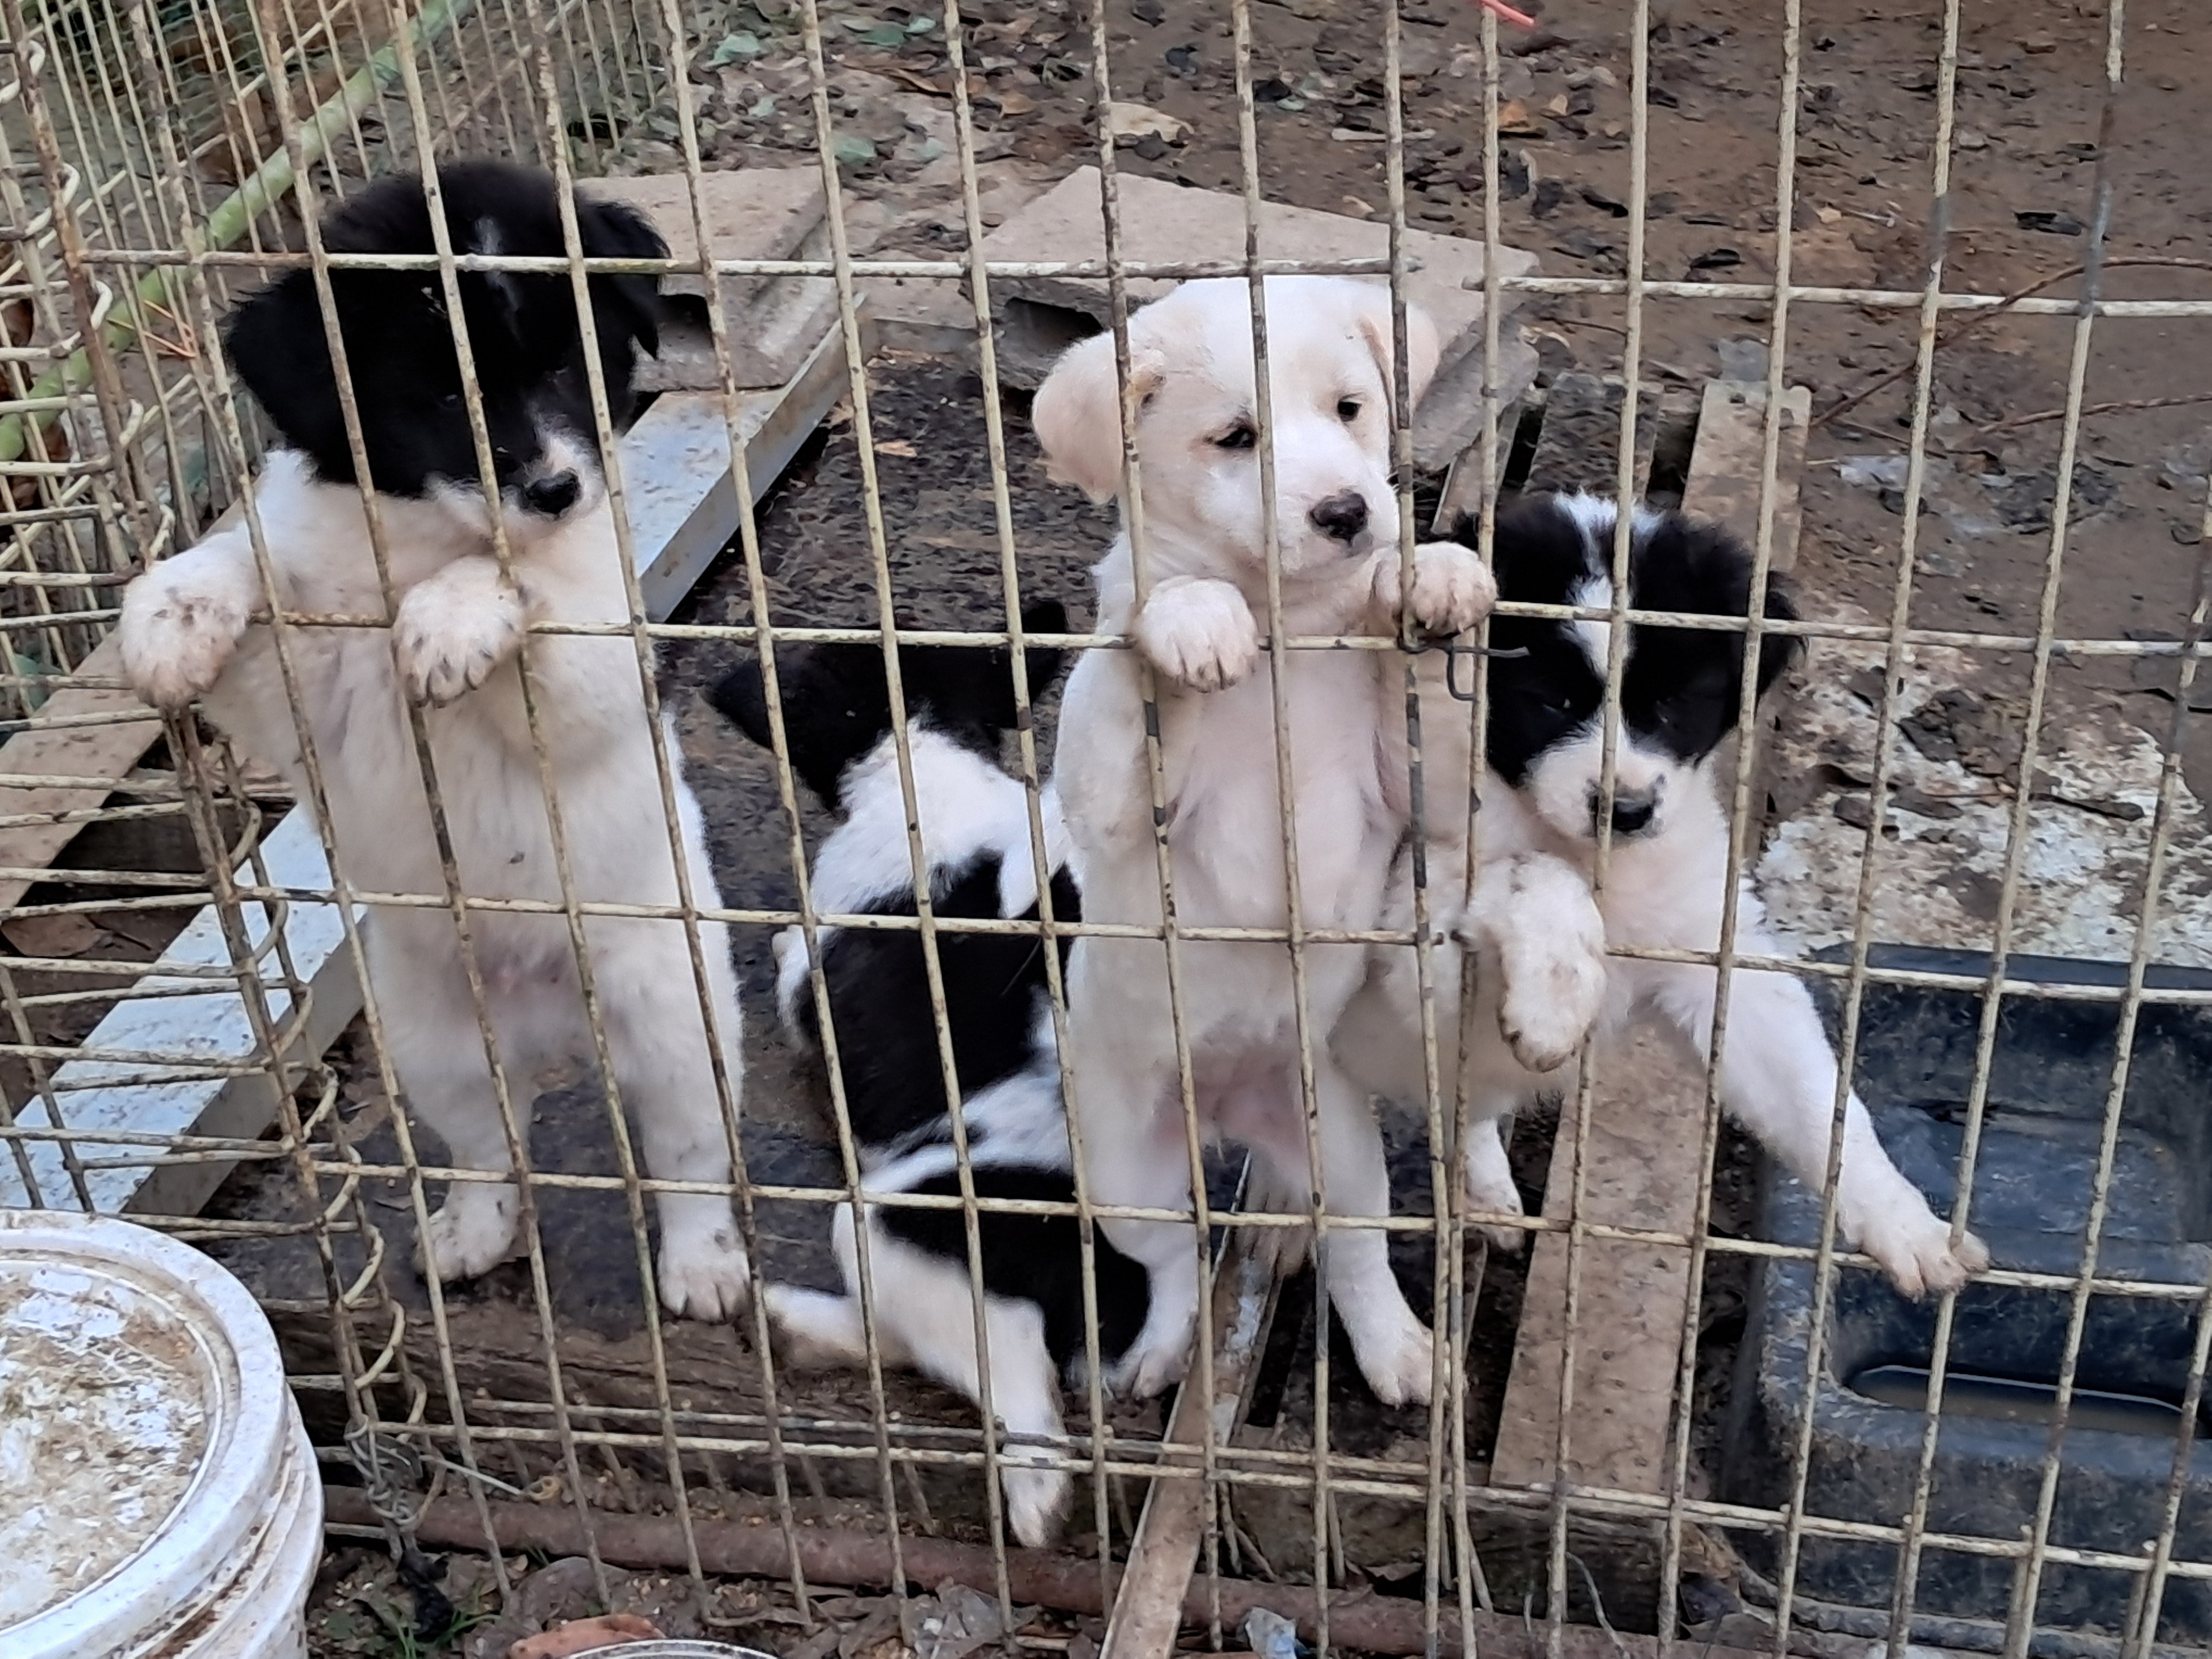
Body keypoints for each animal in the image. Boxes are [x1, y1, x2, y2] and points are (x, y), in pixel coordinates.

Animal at [114, 161, 753, 1320]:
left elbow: (523, 591)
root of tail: (550, 1028)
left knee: (687, 1153)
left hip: (671, 1015)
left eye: (563, 362)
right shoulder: (296, 685)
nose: (555, 489)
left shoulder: (598, 647)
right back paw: (470, 1231)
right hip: (433, 1039)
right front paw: (170, 615)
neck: (418, 539)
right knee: (491, 1148)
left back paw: (703, 1265)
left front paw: (451, 621)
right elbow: (242, 560)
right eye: (445, 395)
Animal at [709, 605, 1150, 1548]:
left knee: (1008, 1363)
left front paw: (779, 943)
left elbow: (794, 966)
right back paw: (794, 1327)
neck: (923, 758)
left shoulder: (814, 976)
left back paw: (1034, 1495)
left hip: (893, 1222)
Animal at [1032, 275, 1502, 1405]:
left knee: (1355, 1248)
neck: (1288, 626)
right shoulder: (1106, 801)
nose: (1347, 512)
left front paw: (1434, 578)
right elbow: (1132, 643)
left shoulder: (1419, 794)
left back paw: (1397, 1347)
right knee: (1173, 1260)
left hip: (1343, 1142)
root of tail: (1237, 1111)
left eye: (1350, 409)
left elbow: (1431, 707)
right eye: (1236, 438)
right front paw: (1190, 620)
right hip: (1125, 1167)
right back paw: (1160, 1353)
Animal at [1333, 492, 1990, 1298]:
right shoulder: (1412, 943)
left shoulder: (1717, 956)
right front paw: (1556, 1001)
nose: (1628, 811)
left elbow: (1817, 1098)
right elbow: (1529, 874)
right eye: (1550, 701)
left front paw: (1907, 1224)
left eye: (1676, 703)